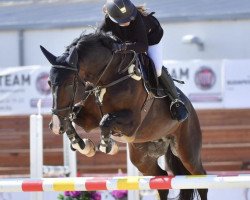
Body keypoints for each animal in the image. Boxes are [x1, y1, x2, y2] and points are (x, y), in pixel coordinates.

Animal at [40, 31, 207, 200]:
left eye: (69, 84)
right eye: (48, 83)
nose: (55, 126)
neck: (108, 77)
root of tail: (190, 108)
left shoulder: (131, 122)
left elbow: (105, 121)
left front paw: (107, 146)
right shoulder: (89, 119)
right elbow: (73, 120)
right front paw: (83, 146)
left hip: (187, 151)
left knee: (200, 178)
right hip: (141, 158)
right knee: (161, 177)